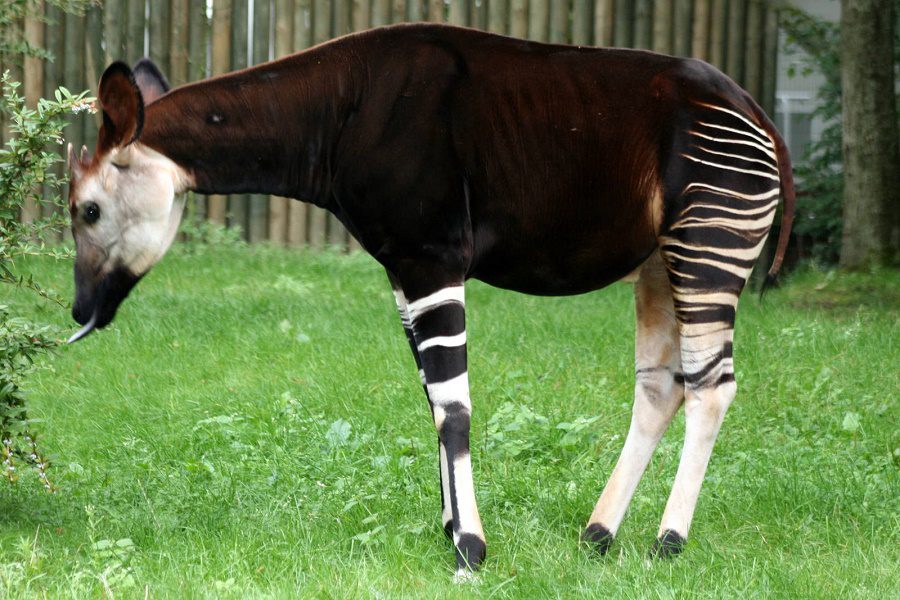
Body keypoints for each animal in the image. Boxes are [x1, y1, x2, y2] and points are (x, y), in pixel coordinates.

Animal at [65, 24, 795, 575]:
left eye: (87, 209)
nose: (78, 312)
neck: (339, 114)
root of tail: (756, 112)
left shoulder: (431, 255)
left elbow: (454, 407)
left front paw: (470, 549)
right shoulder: (402, 266)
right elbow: (431, 401)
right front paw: (449, 529)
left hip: (707, 244)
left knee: (711, 386)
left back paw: (667, 542)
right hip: (657, 264)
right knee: (661, 384)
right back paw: (597, 534)